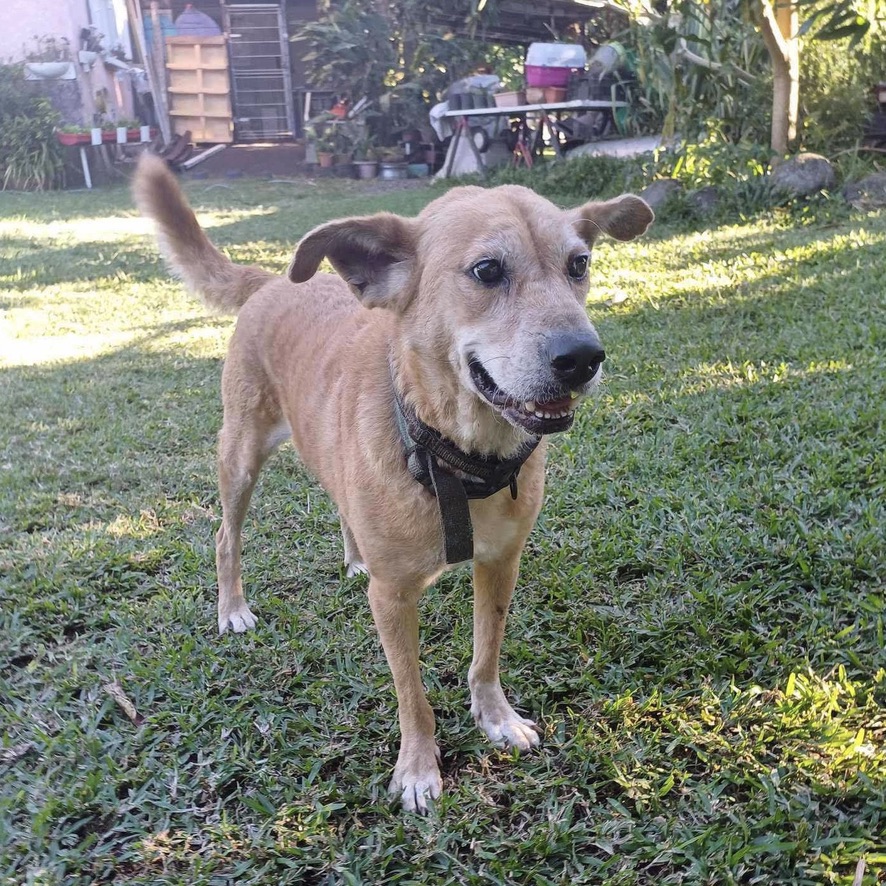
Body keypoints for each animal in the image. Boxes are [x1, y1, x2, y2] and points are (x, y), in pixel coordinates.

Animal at [135, 153, 656, 812]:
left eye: (579, 265)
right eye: (487, 270)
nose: (583, 358)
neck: (455, 456)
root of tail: (273, 281)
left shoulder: (501, 563)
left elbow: (486, 654)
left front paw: (496, 718)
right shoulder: (392, 599)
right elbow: (413, 695)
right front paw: (417, 768)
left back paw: (353, 556)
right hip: (240, 454)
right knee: (227, 536)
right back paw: (232, 608)